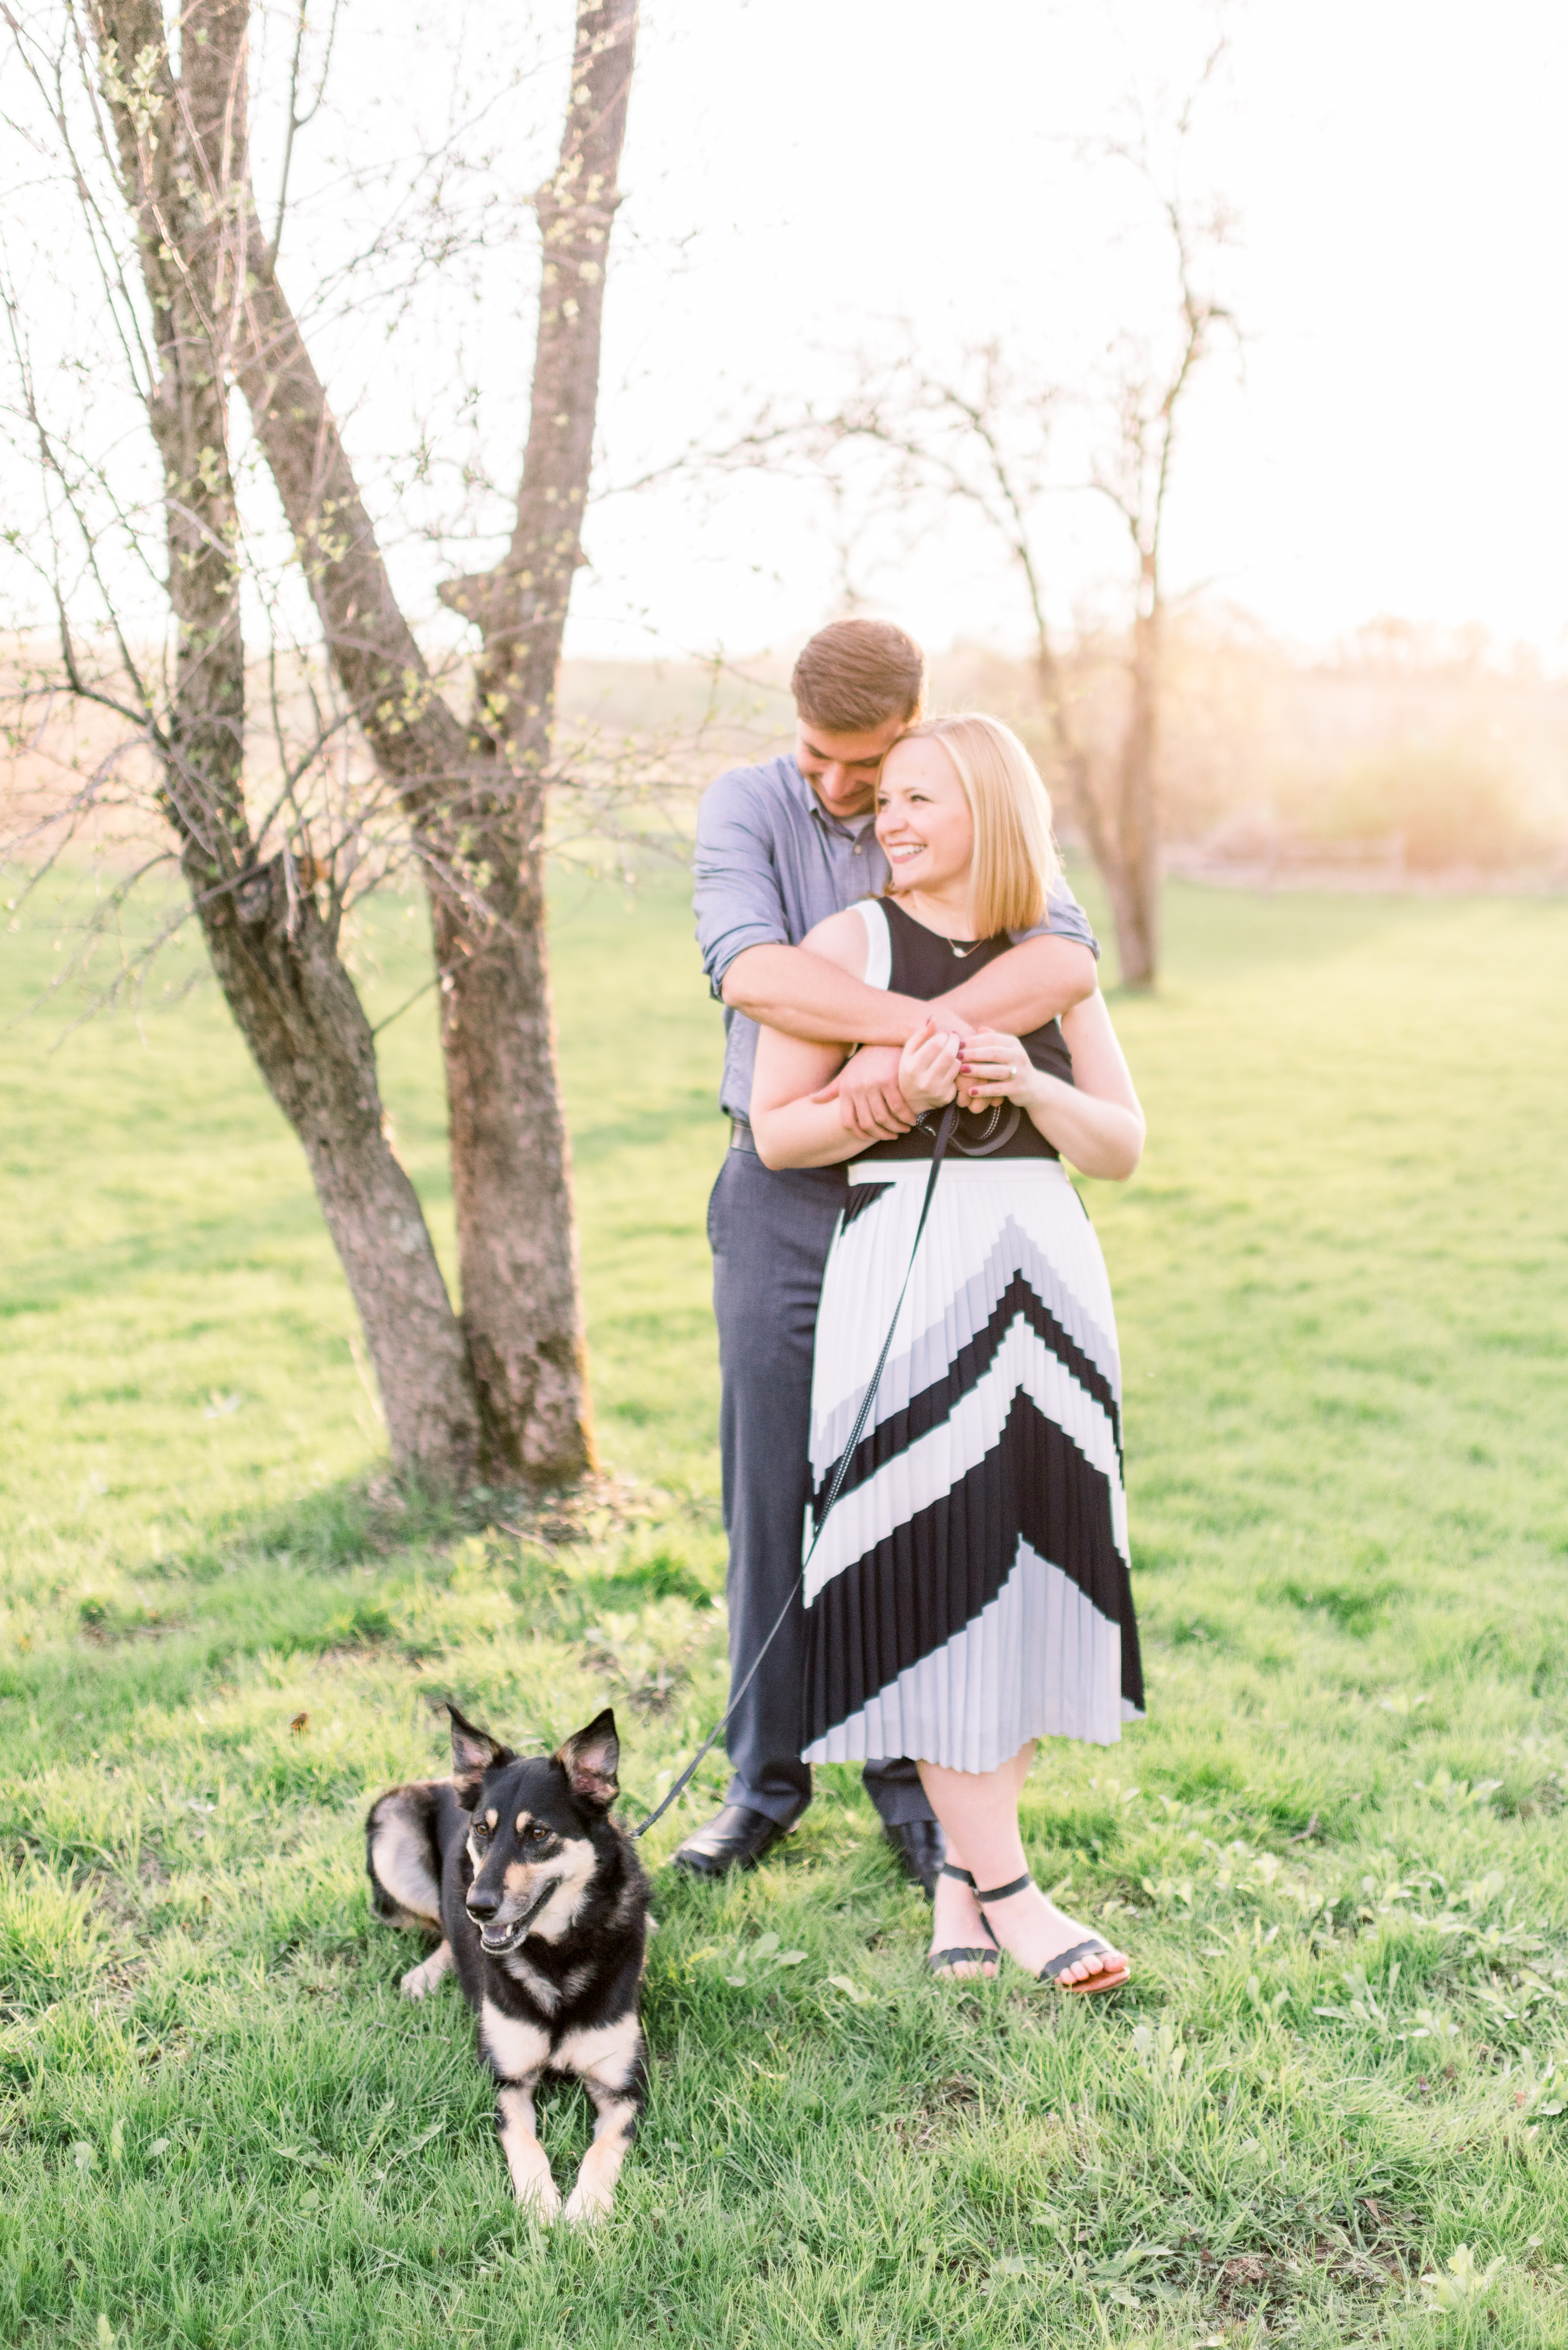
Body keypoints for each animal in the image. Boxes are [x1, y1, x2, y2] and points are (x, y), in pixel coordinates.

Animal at [369, 1711, 648, 2218]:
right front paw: (541, 2205)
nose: (478, 1907)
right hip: (389, 1828)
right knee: (440, 1919)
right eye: (481, 1829)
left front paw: (585, 2212)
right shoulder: (505, 2081)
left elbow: (602, 2150)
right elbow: (525, 2143)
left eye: (538, 1833)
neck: (556, 1952)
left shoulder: (623, 2089)